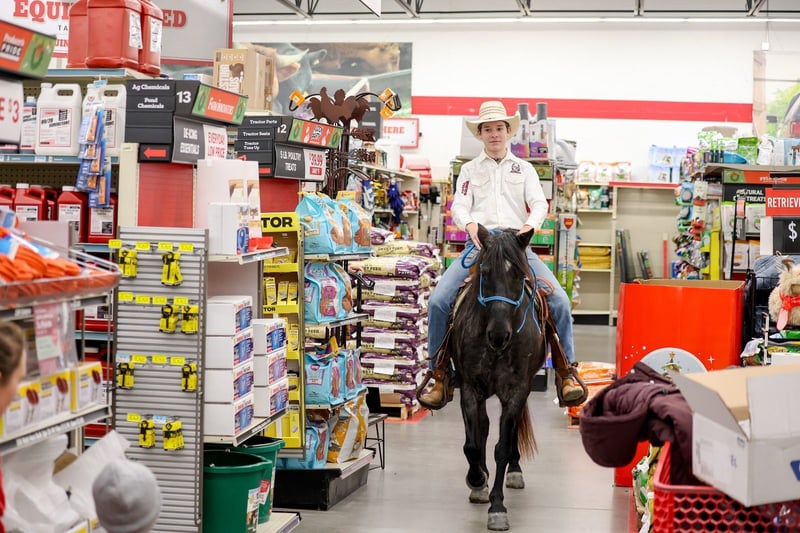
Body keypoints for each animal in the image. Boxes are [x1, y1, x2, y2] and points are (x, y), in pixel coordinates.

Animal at [451, 225, 547, 531]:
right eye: (484, 271)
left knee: (510, 432)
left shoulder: (516, 391)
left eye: (518, 273)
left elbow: (502, 447)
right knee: (482, 428)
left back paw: (514, 471)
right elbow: (472, 442)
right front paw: (477, 479)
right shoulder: (470, 388)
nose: (498, 335)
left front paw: (497, 507)